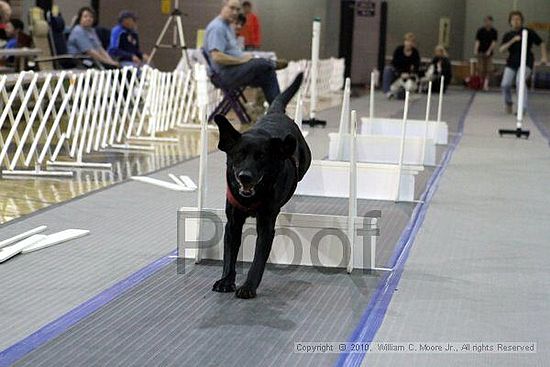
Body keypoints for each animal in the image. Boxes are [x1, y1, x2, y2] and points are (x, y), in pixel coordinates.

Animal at [213, 72, 312, 300]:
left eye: (261, 158)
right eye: (239, 155)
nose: (245, 177)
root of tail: (275, 113)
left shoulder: (266, 226)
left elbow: (258, 260)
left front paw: (248, 286)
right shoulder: (233, 224)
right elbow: (229, 256)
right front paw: (226, 281)